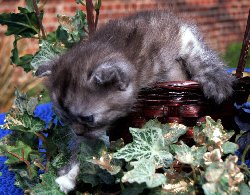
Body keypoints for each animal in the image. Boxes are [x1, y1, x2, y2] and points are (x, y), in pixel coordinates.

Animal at [36, 10, 234, 192]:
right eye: (64, 119)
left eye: (88, 118)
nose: (77, 132)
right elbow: (86, 150)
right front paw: (70, 173)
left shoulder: (181, 33)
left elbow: (200, 56)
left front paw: (217, 80)